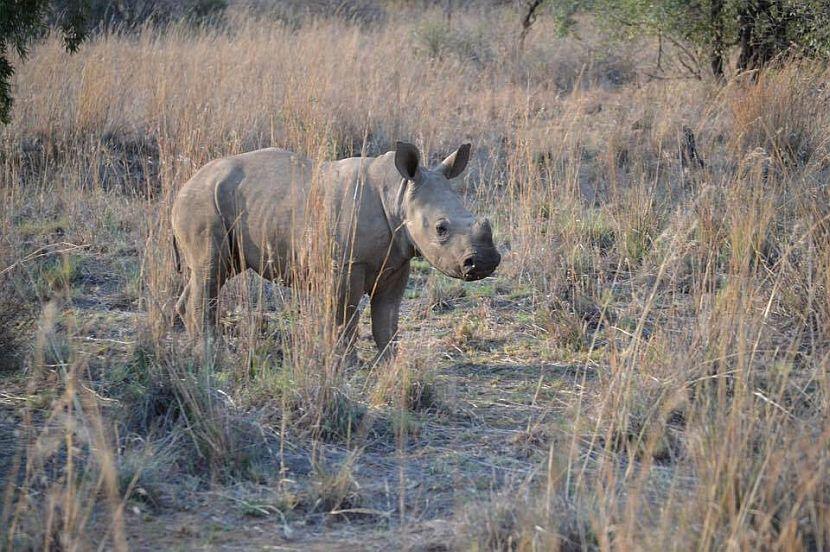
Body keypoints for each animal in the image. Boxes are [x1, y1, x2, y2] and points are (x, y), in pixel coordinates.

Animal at [172, 142, 500, 356]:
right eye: (441, 229)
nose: (485, 262)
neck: (398, 194)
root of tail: (184, 184)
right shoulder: (347, 264)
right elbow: (346, 317)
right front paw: (345, 362)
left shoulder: (397, 260)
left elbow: (386, 320)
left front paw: (390, 363)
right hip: (203, 202)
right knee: (210, 271)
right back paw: (209, 353)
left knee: (213, 273)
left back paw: (194, 344)